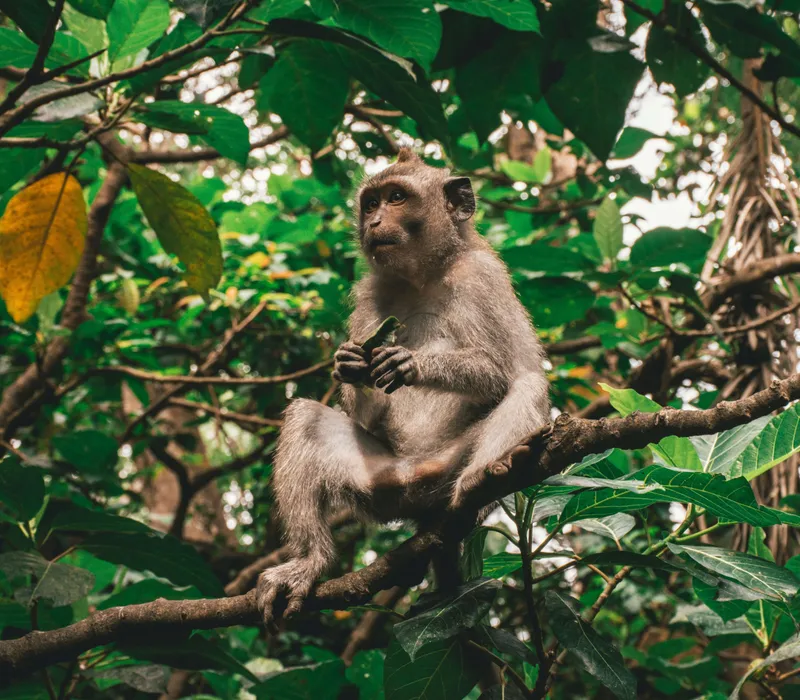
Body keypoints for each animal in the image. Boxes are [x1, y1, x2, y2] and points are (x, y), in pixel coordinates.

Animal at [256, 148, 550, 622]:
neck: (424, 275)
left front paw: (413, 363)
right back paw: (309, 561)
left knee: (528, 386)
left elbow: (506, 372)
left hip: (449, 467)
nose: (374, 222)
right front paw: (350, 363)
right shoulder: (369, 292)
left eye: (397, 198)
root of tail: (418, 480)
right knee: (304, 417)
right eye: (370, 203)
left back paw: (484, 477)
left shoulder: (481, 276)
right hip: (381, 483)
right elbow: (365, 412)